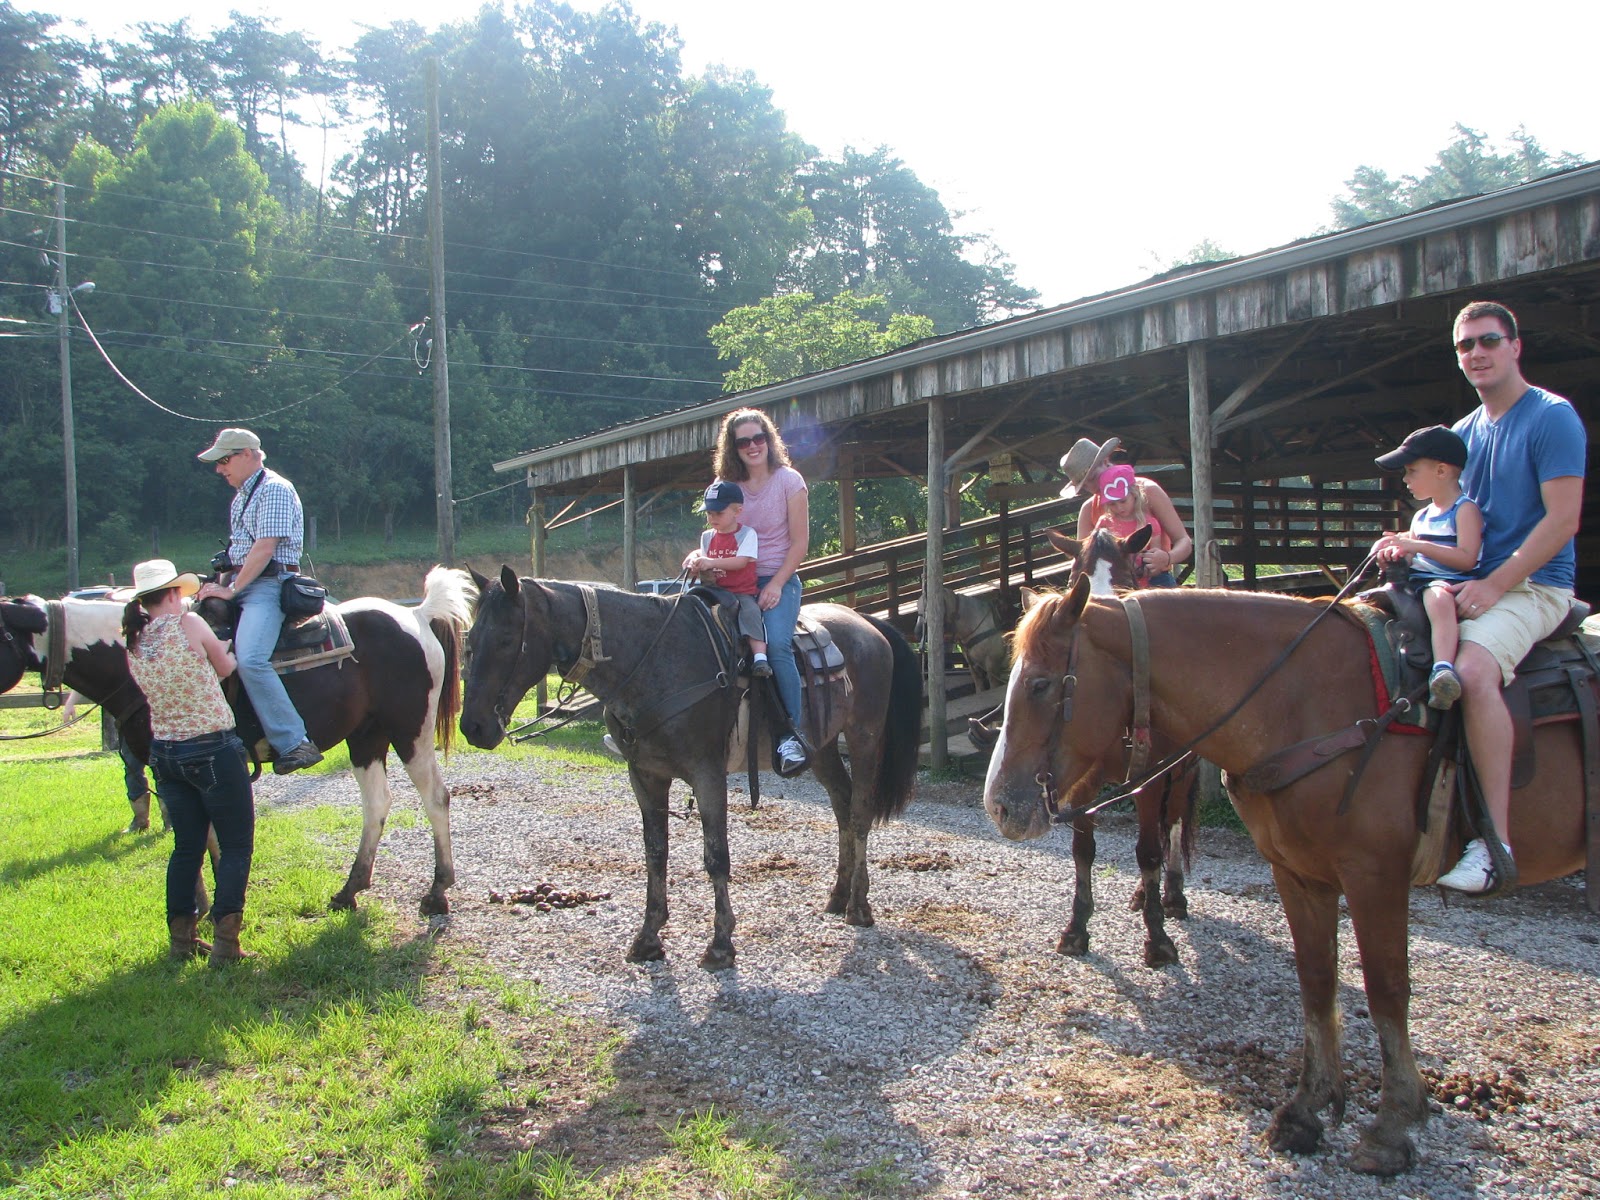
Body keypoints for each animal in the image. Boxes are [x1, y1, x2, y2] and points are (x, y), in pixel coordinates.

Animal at [0, 569, 473, 915]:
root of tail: (416, 617)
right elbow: (204, 838)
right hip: (365, 737)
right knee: (377, 804)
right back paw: (349, 890)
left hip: (409, 732)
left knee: (435, 796)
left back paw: (437, 891)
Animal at [457, 569, 921, 972]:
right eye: (470, 639)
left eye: (505, 639)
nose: (473, 726)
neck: (653, 661)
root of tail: (867, 624)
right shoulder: (645, 776)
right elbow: (655, 852)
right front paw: (648, 938)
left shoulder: (708, 774)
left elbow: (716, 857)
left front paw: (720, 945)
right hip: (821, 748)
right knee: (842, 806)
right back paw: (838, 896)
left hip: (863, 738)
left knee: (859, 814)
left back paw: (859, 906)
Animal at [985, 579, 1587, 1177]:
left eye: (1040, 684)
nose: (1000, 805)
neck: (1306, 703)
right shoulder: (1296, 872)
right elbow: (1317, 979)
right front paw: (1307, 1110)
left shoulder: (1374, 876)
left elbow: (1387, 990)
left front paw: (1392, 1127)